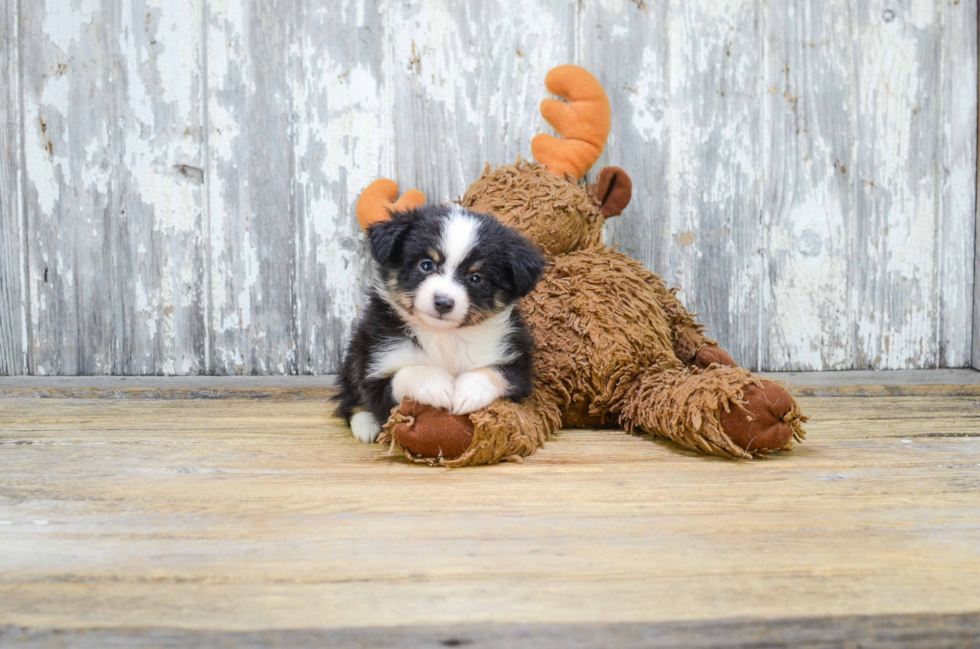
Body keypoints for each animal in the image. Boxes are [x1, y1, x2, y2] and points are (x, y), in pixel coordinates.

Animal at [334, 205, 544, 442]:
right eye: (426, 265)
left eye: (475, 278)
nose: (443, 302)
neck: (444, 335)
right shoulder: (377, 362)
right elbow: (402, 375)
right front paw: (435, 384)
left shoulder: (518, 365)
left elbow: (498, 373)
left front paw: (469, 389)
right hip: (356, 352)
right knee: (350, 395)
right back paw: (365, 424)